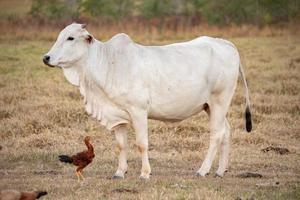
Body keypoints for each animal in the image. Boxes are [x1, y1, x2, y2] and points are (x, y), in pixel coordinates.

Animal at [43, 23, 252, 180]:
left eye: (70, 38)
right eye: (60, 36)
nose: (46, 57)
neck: (108, 63)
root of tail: (224, 43)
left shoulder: (139, 111)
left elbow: (142, 144)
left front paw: (145, 173)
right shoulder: (118, 116)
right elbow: (121, 145)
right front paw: (120, 172)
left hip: (219, 101)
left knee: (216, 134)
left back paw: (203, 170)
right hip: (210, 106)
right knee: (226, 131)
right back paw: (220, 170)